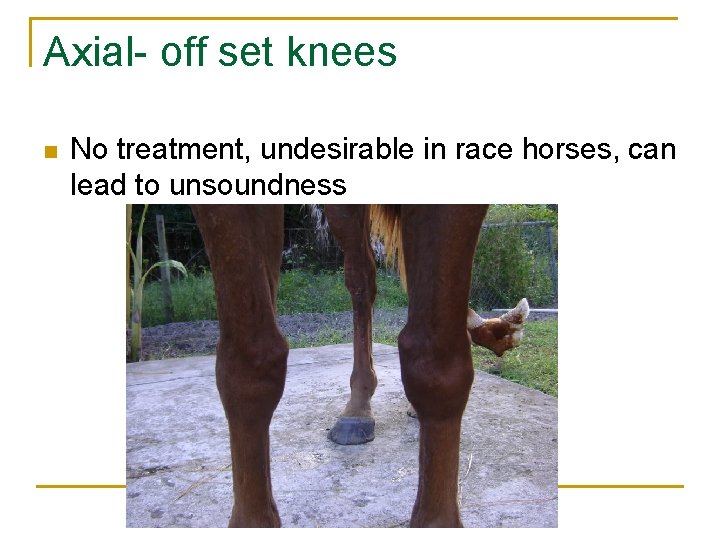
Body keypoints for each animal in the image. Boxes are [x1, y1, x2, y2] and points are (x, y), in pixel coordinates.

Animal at [191, 204, 528, 527]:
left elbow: (436, 365)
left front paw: (436, 522)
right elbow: (248, 363)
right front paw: (253, 522)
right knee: (362, 275)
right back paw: (357, 408)